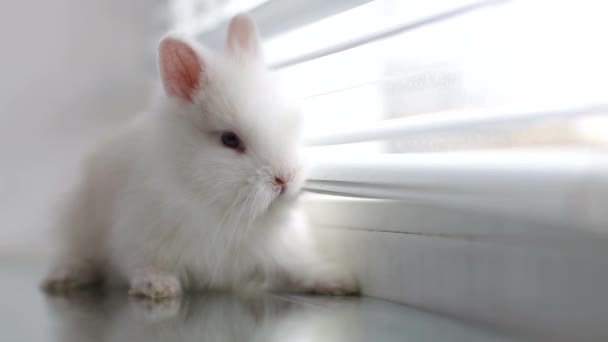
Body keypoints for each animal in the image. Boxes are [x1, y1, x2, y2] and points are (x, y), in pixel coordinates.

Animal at [42, 14, 358, 296]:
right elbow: (143, 265)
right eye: (230, 140)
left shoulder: (283, 251)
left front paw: (337, 281)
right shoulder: (138, 237)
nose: (285, 178)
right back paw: (64, 277)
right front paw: (158, 287)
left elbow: (300, 268)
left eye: (292, 123)